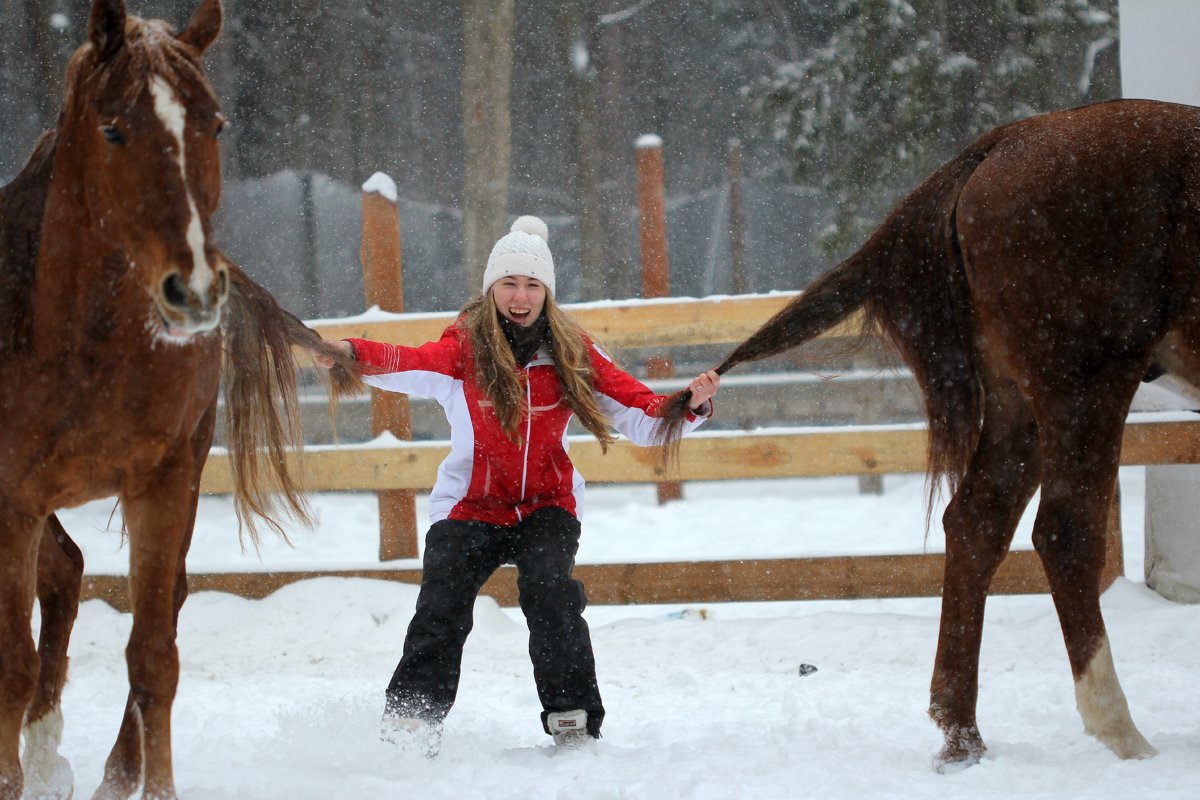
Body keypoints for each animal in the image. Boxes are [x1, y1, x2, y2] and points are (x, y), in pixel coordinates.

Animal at [0, 3, 355, 796]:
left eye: (213, 125)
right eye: (112, 129)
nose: (192, 288)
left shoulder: (163, 483)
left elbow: (154, 658)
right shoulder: (13, 500)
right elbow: (11, 664)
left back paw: (85, 766)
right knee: (62, 580)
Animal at [657, 98, 1200, 767]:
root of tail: (1002, 144)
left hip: (1022, 403)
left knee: (976, 525)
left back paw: (961, 732)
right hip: (1085, 384)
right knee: (1064, 535)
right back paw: (1120, 733)